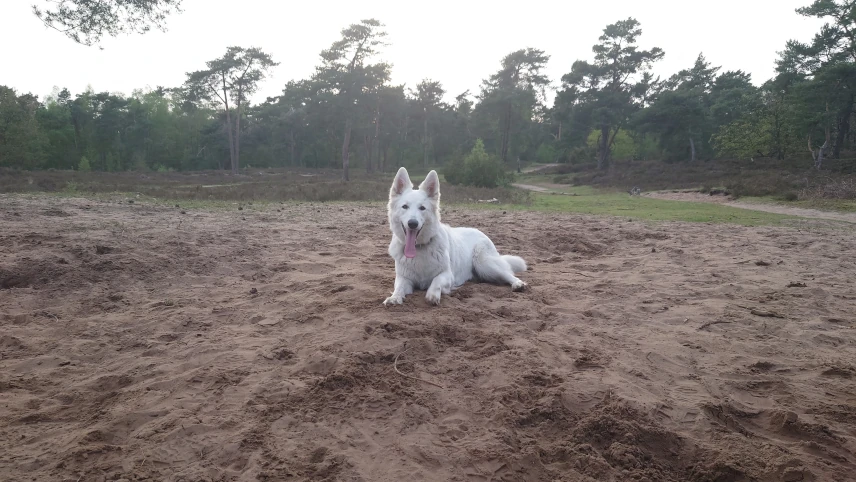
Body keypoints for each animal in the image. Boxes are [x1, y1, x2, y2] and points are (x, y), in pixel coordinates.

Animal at [382, 168, 528, 306]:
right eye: (405, 206)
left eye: (422, 208)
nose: (412, 223)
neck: (419, 249)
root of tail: (481, 232)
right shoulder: (403, 278)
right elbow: (399, 288)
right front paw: (394, 297)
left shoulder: (448, 275)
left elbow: (436, 281)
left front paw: (432, 295)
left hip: (485, 264)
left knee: (508, 274)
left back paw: (518, 284)